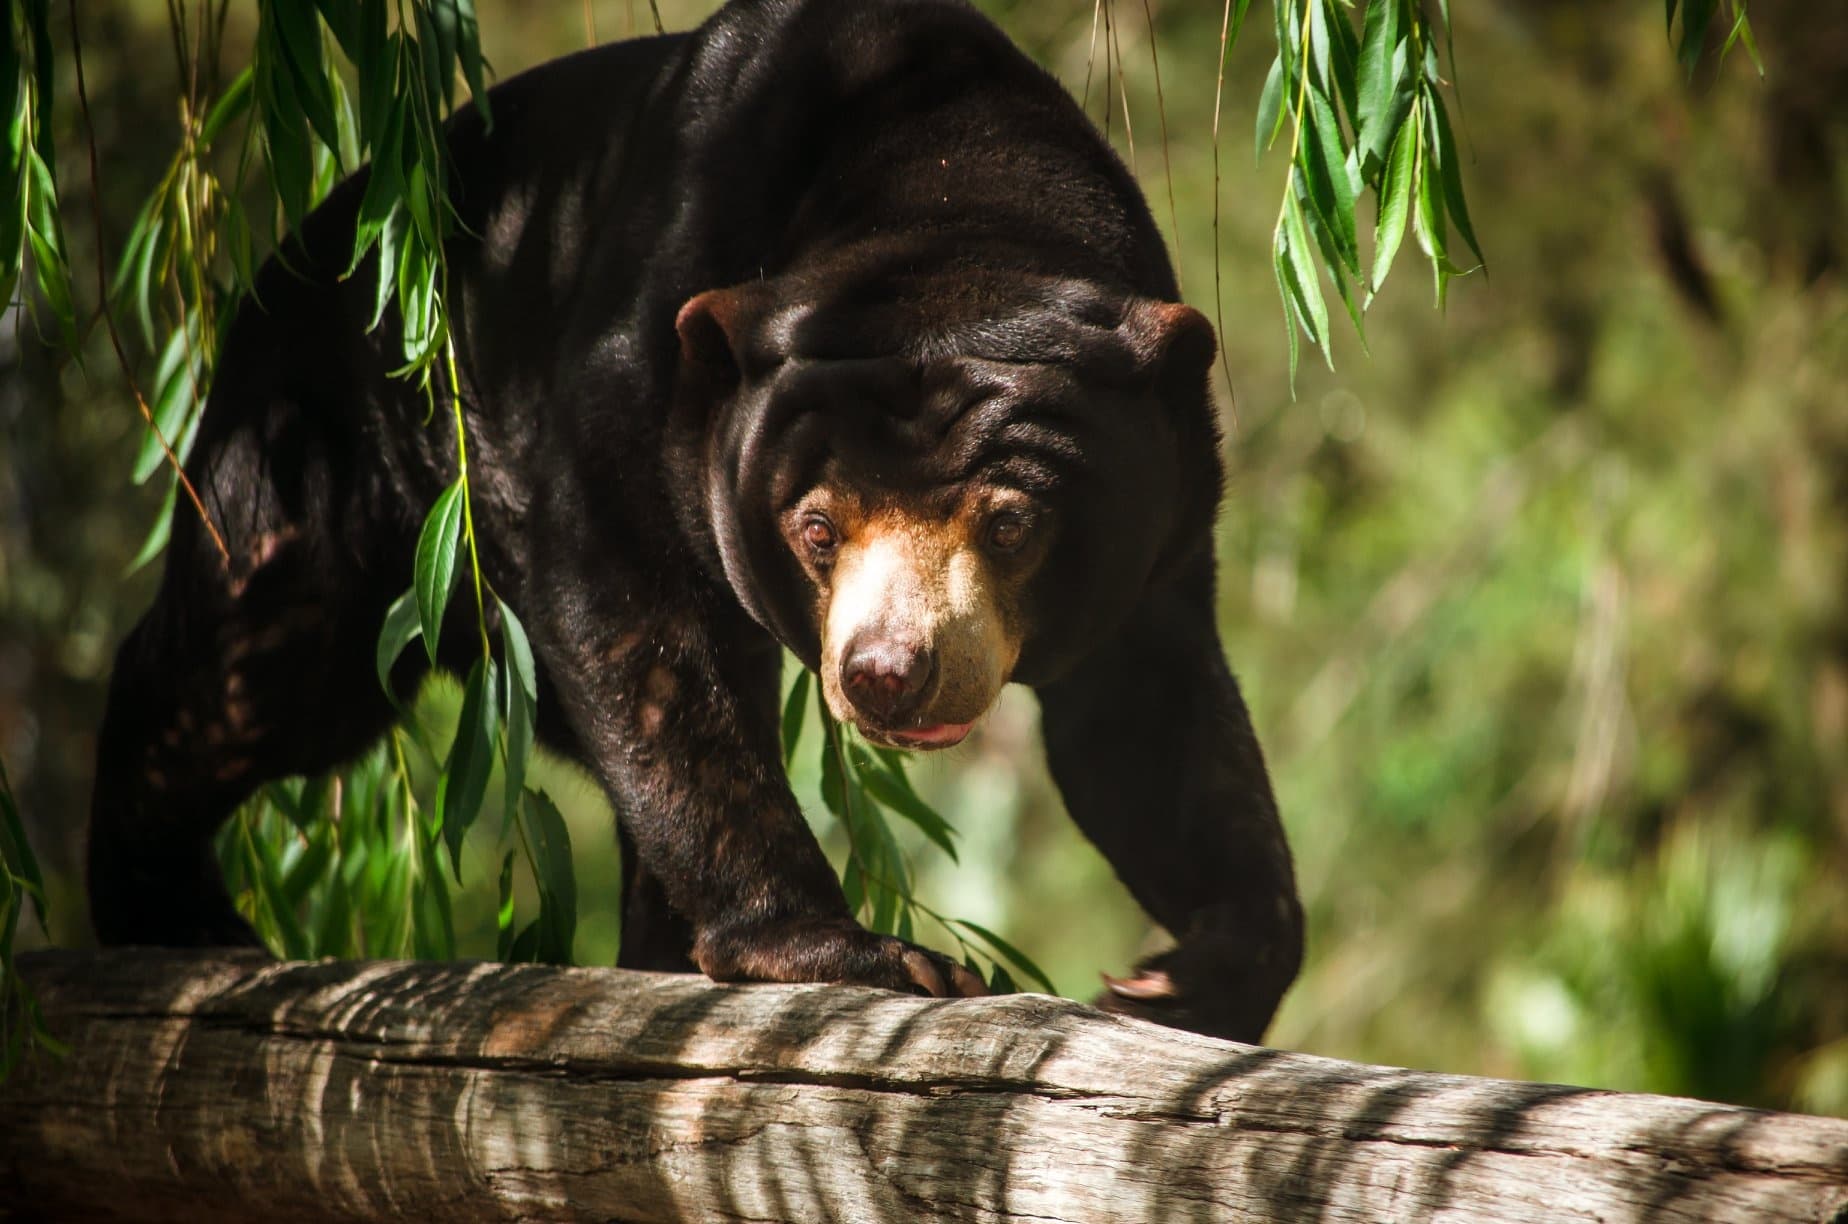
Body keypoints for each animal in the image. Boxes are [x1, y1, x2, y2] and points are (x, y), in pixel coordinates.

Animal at [87, 0, 1304, 1042]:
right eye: (817, 530)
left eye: (1010, 524)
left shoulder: (1161, 527)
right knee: (255, 657)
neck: (955, 193)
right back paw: (168, 911)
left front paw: (1182, 979)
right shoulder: (627, 368)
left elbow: (1147, 723)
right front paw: (863, 953)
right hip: (337, 449)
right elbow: (639, 619)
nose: (887, 672)